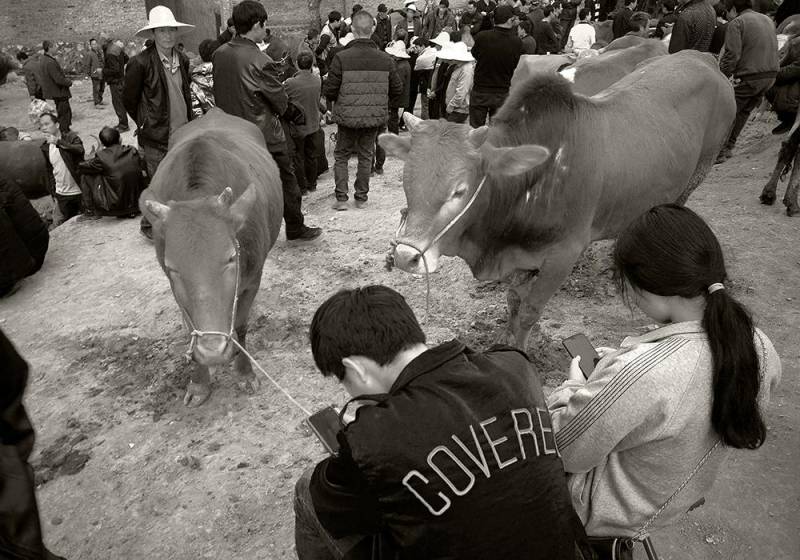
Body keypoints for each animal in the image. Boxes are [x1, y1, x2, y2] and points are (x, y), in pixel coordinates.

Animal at [139, 108, 282, 406]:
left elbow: (240, 324)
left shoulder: (253, 277)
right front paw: (199, 382)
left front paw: (245, 373)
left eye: (230, 258)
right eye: (172, 268)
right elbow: (188, 328)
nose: (213, 350)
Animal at [378, 52, 736, 350]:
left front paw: (523, 351)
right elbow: (513, 300)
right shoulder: (518, 256)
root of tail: (704, 59)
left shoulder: (563, 255)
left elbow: (529, 310)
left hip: (699, 172)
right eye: (407, 181)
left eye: (459, 190)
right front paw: (503, 339)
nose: (406, 257)